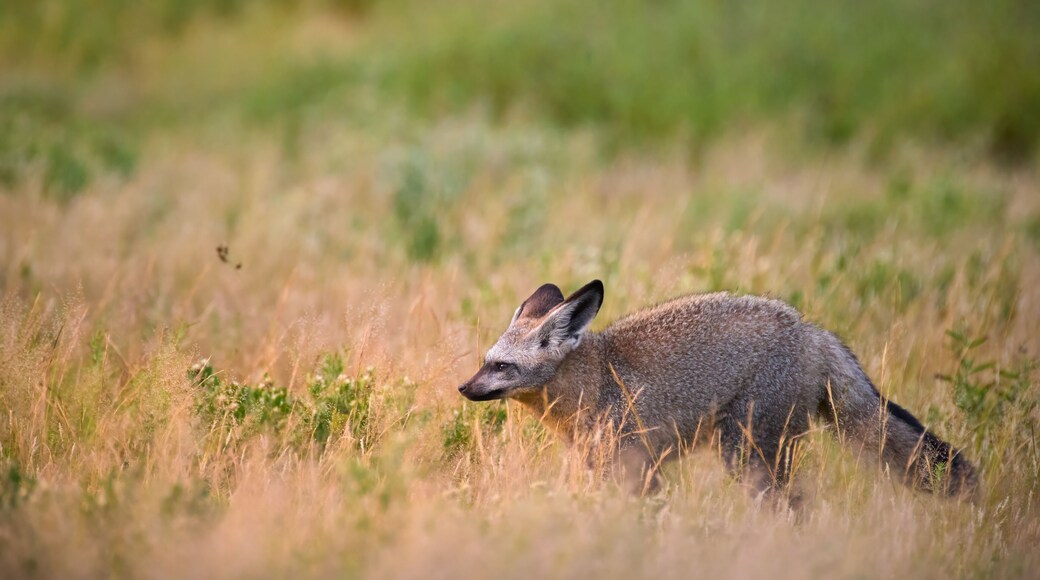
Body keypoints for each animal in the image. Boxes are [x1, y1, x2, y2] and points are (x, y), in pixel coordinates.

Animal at [458, 280, 978, 499]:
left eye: (502, 367)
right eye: (485, 362)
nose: (463, 388)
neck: (597, 380)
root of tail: (812, 331)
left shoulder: (636, 464)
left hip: (747, 455)